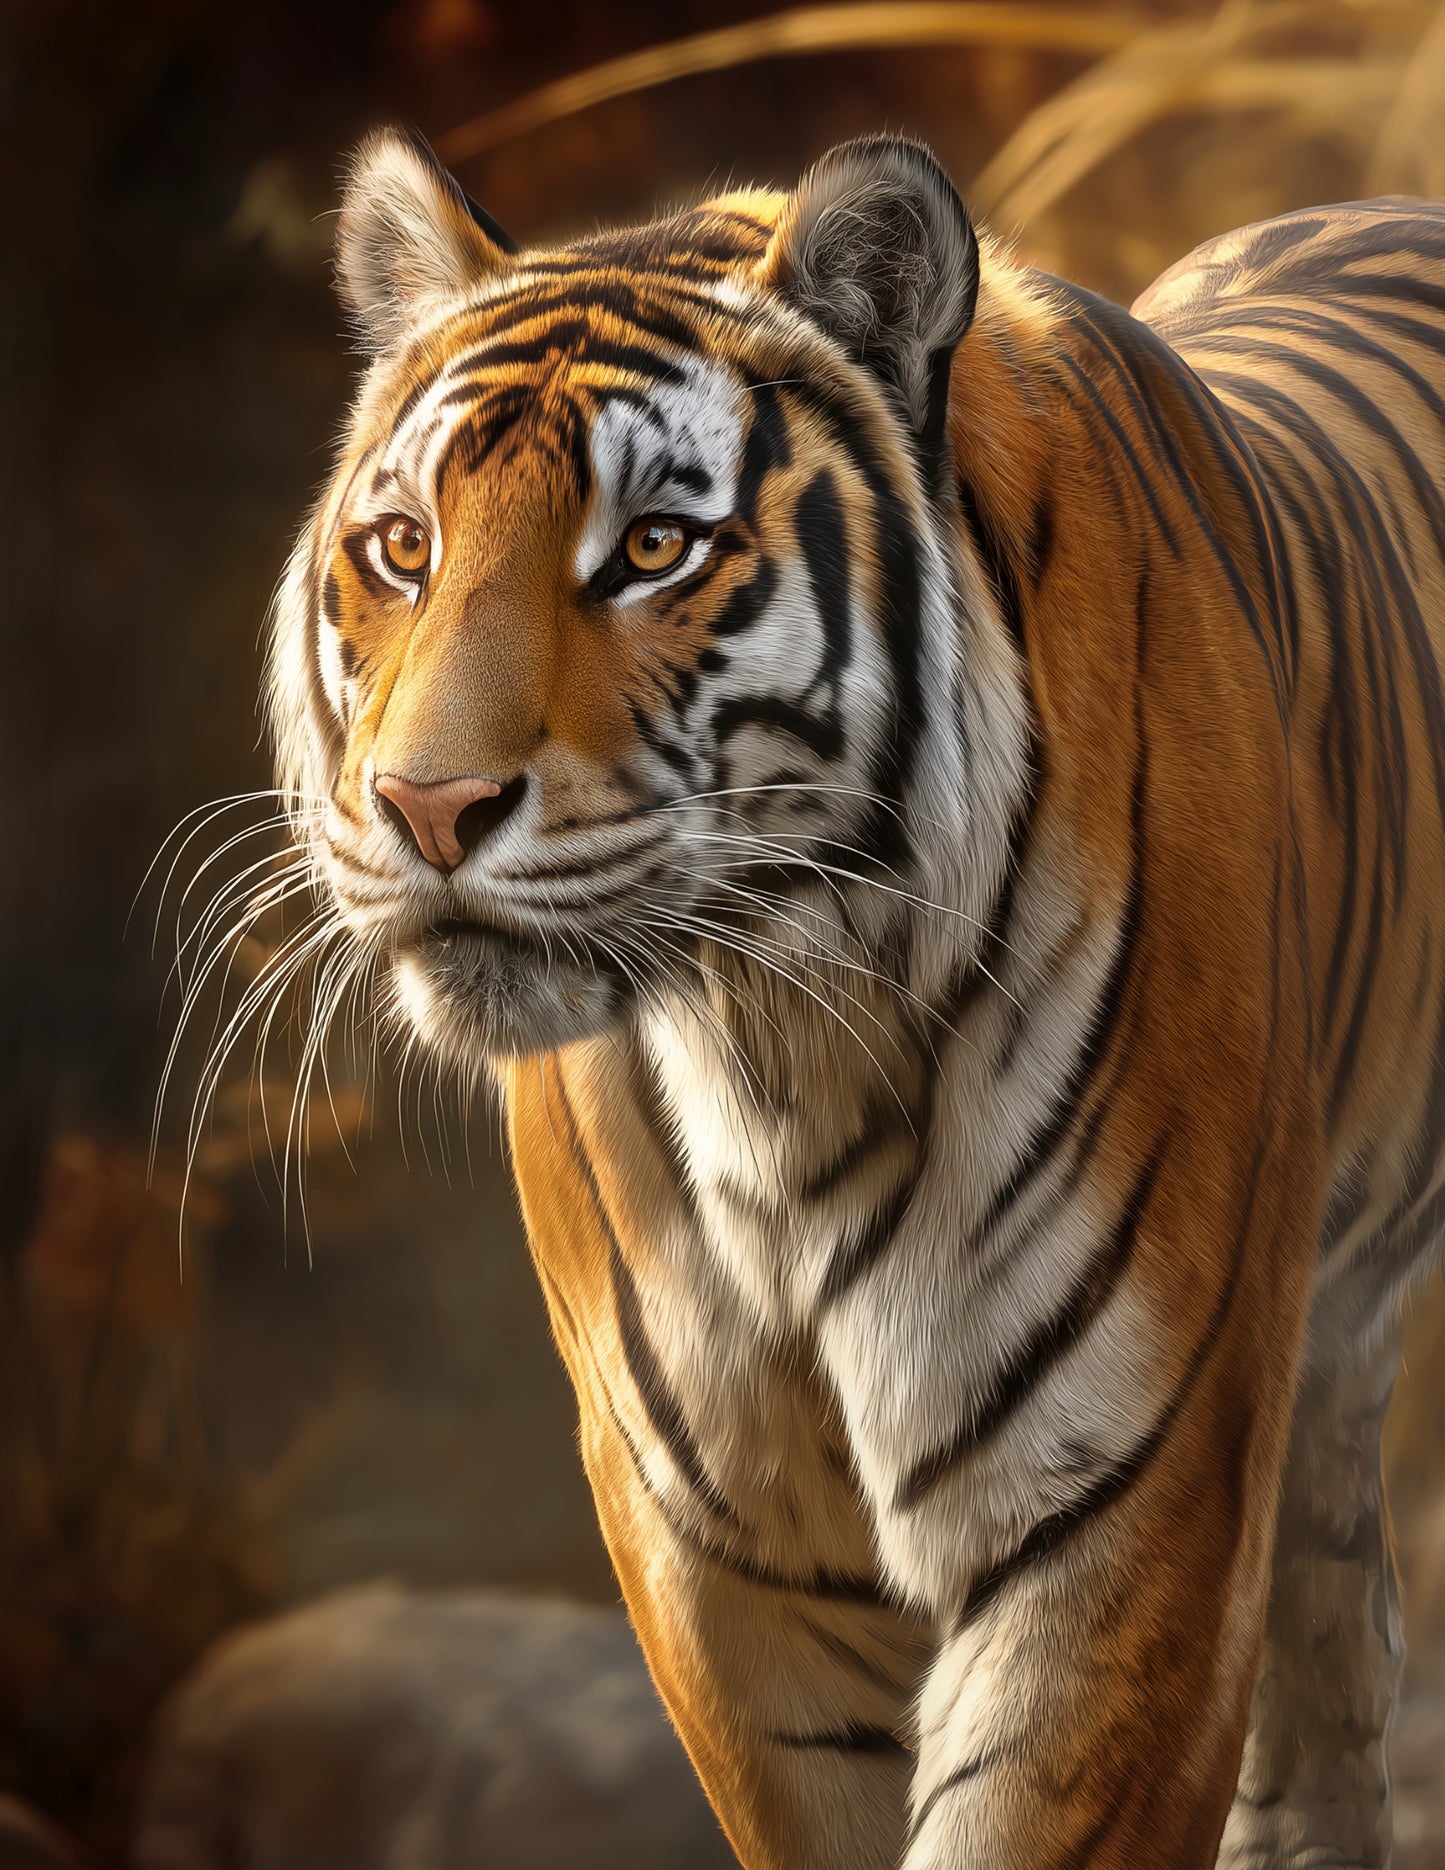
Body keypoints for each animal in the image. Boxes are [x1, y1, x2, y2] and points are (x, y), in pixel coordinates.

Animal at [260, 124, 1445, 1867]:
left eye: (655, 547)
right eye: (405, 547)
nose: (426, 805)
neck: (781, 1028)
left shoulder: (1125, 1496)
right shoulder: (721, 1548)